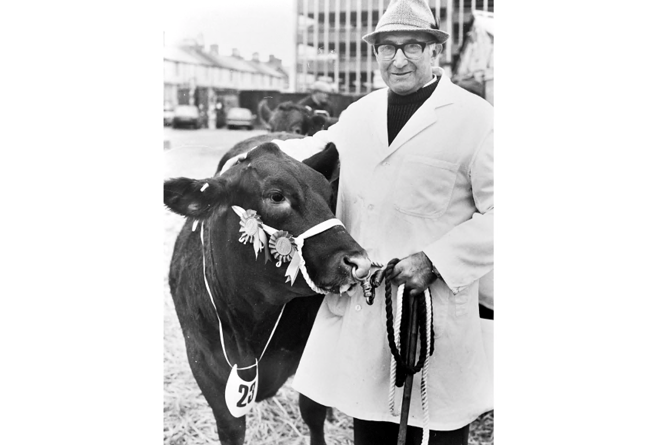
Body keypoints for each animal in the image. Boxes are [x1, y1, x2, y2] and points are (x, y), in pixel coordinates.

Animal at [163, 143, 370, 444]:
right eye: (276, 196)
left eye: (329, 195)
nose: (359, 262)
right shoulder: (205, 367)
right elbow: (232, 428)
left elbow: (312, 412)